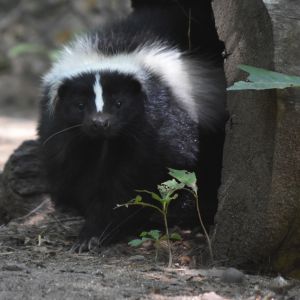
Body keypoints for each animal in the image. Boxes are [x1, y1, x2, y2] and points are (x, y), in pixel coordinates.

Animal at [37, 3, 226, 251]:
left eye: (119, 103)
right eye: (79, 105)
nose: (100, 122)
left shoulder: (158, 123)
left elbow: (135, 180)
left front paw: (98, 230)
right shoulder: (64, 133)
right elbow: (74, 172)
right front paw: (89, 229)